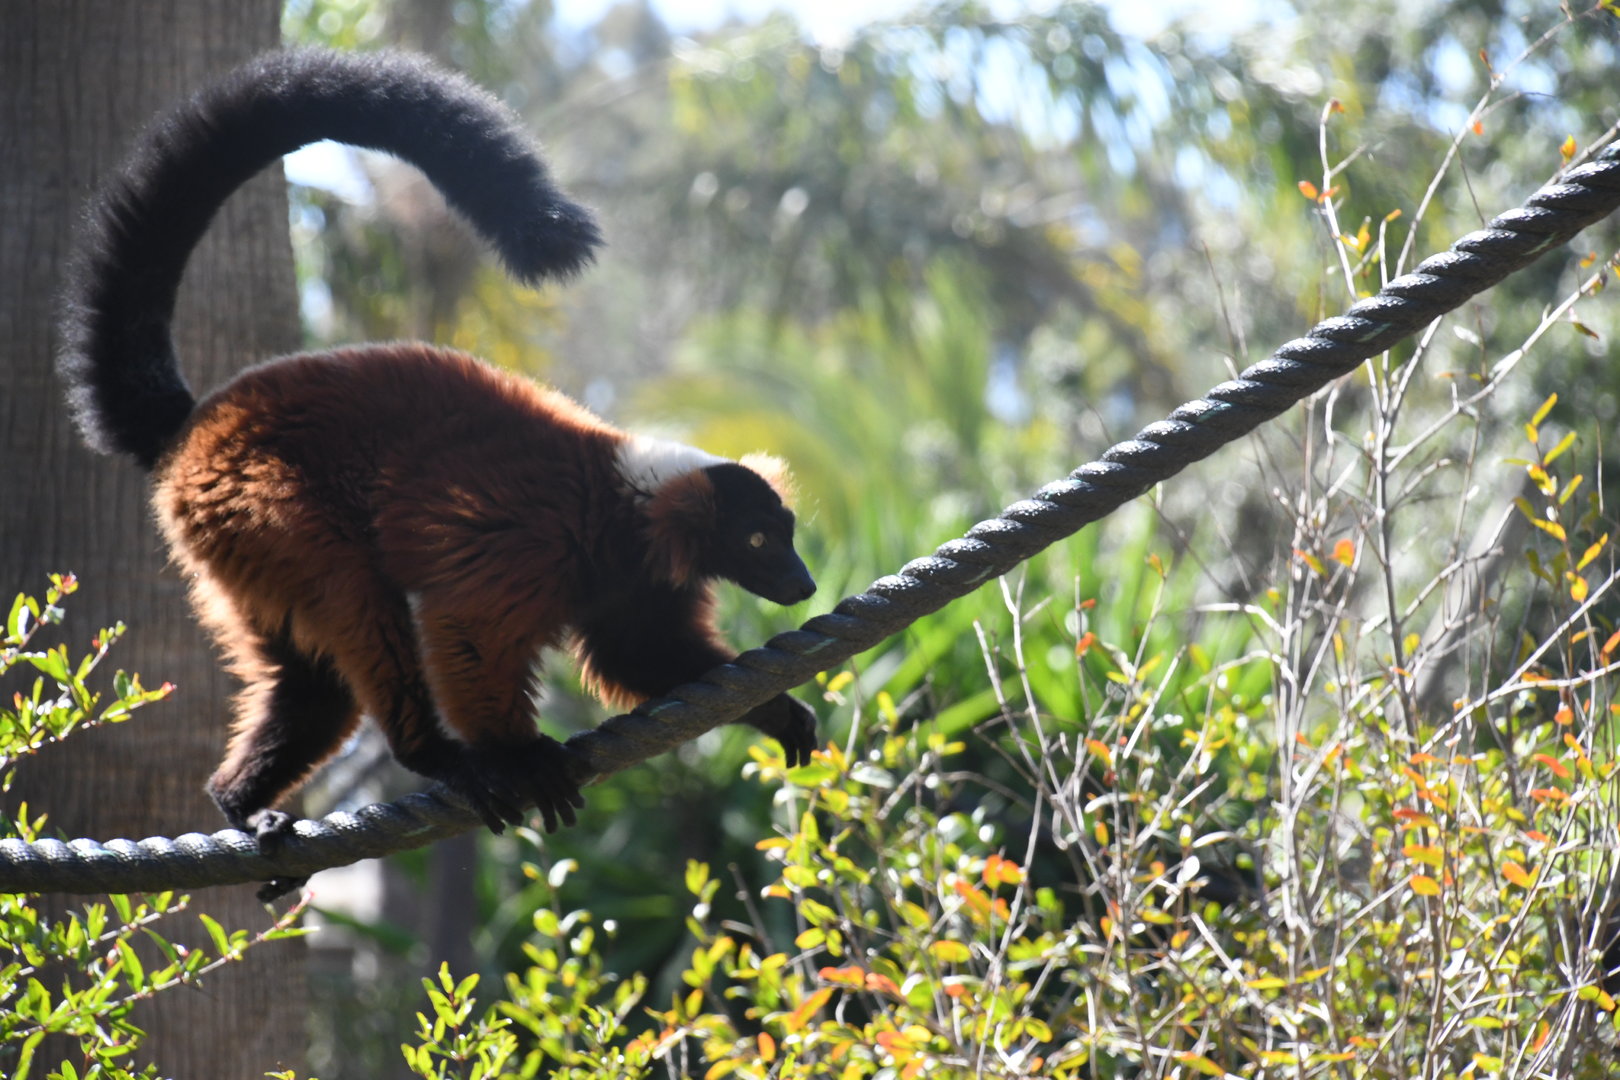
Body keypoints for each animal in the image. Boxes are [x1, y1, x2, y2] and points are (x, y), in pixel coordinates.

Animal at [56, 48, 818, 849]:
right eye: (759, 539)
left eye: (786, 535)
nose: (803, 585)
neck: (625, 506)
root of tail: (197, 425)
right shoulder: (534, 542)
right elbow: (470, 627)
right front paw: (519, 754)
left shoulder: (634, 576)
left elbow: (640, 653)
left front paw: (774, 711)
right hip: (253, 500)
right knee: (353, 594)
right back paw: (436, 758)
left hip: (233, 546)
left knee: (312, 681)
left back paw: (241, 803)